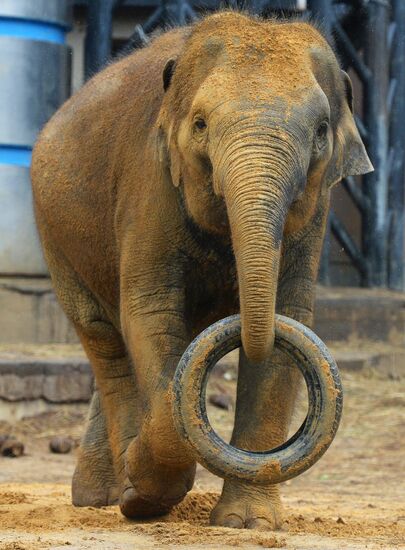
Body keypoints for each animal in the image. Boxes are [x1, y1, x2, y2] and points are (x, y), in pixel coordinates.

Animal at [31, 10, 370, 532]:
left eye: (320, 131)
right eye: (200, 124)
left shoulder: (316, 210)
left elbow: (287, 321)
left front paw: (249, 524)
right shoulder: (149, 181)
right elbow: (150, 311)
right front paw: (143, 494)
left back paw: (100, 496)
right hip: (55, 232)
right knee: (105, 339)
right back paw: (117, 492)